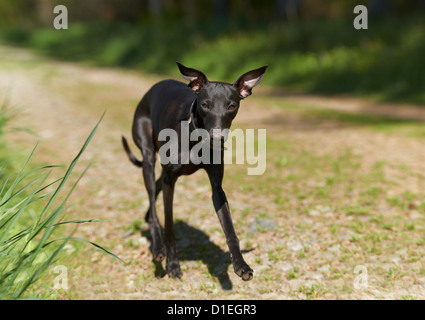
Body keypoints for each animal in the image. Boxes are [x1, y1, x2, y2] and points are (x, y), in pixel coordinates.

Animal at [122, 63, 266, 280]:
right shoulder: (170, 180)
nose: (217, 138)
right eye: (205, 105)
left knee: (155, 192)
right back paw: (157, 248)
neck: (195, 136)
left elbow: (230, 229)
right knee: (153, 200)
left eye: (231, 106)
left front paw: (241, 265)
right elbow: (169, 226)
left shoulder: (217, 187)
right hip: (147, 155)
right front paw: (173, 265)